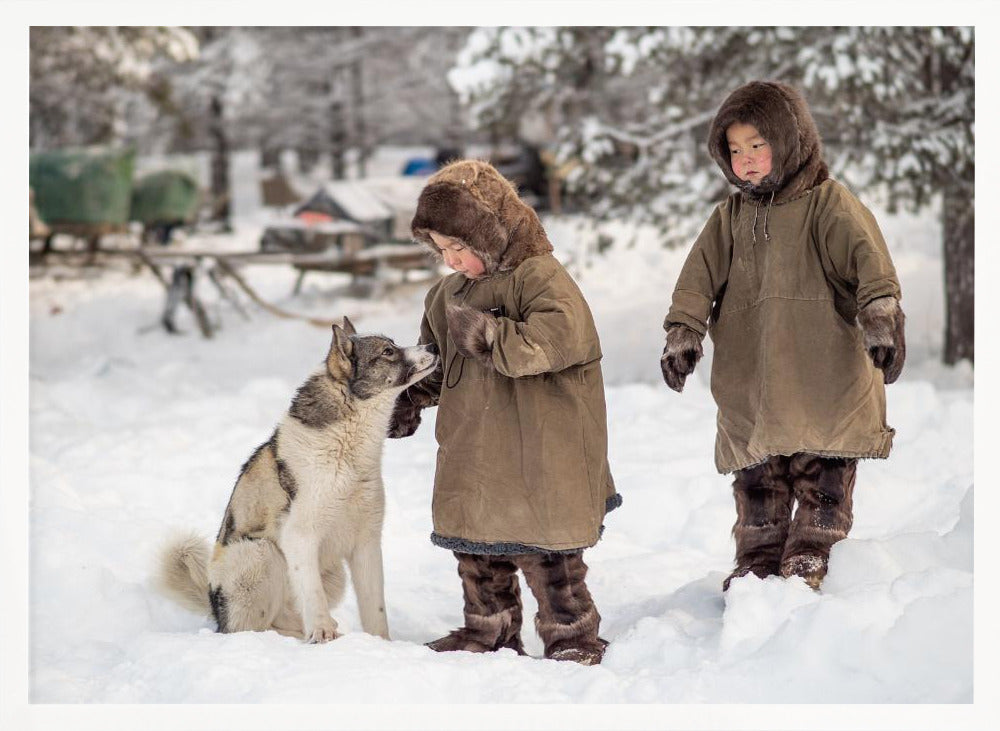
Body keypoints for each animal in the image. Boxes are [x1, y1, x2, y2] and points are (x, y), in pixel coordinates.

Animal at [157, 318, 438, 644]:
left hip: (333, 573)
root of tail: (215, 611)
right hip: (259, 553)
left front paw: (381, 644)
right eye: (388, 351)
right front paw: (323, 633)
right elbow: (313, 595)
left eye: (393, 345)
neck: (346, 447)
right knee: (251, 627)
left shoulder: (366, 543)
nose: (434, 346)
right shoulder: (300, 536)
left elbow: (375, 608)